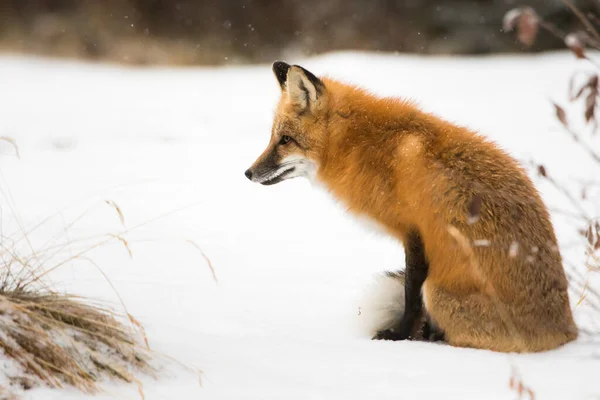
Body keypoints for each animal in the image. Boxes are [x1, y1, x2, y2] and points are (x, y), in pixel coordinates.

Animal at [244, 61, 576, 352]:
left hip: (438, 292)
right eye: (273, 137)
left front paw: (398, 337)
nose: (248, 173)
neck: (363, 145)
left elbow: (411, 297)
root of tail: (568, 332)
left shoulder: (415, 231)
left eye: (286, 140)